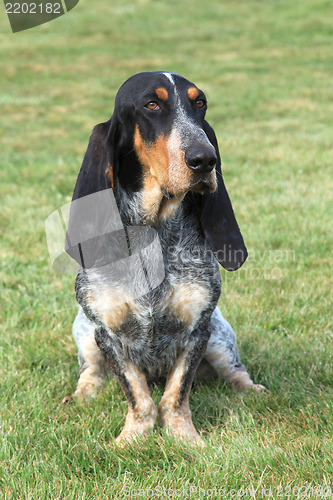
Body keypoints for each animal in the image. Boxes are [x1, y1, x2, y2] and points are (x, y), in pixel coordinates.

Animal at [65, 71, 266, 446]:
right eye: (152, 104)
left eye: (200, 103)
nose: (205, 159)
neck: (155, 232)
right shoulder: (107, 334)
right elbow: (139, 395)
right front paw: (131, 439)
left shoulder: (198, 329)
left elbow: (175, 395)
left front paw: (185, 438)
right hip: (84, 330)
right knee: (90, 370)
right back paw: (82, 395)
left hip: (220, 337)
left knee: (235, 369)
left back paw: (252, 389)